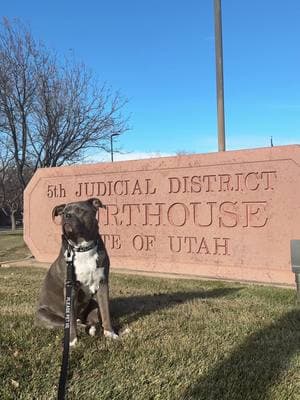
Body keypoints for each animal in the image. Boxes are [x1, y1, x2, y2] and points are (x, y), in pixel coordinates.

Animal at [35, 198, 118, 346]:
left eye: (80, 210)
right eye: (64, 213)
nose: (67, 216)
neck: (82, 248)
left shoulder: (103, 284)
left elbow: (106, 312)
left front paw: (110, 333)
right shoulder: (70, 288)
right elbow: (71, 320)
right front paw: (72, 341)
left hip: (93, 305)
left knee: (92, 320)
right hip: (46, 316)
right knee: (75, 323)